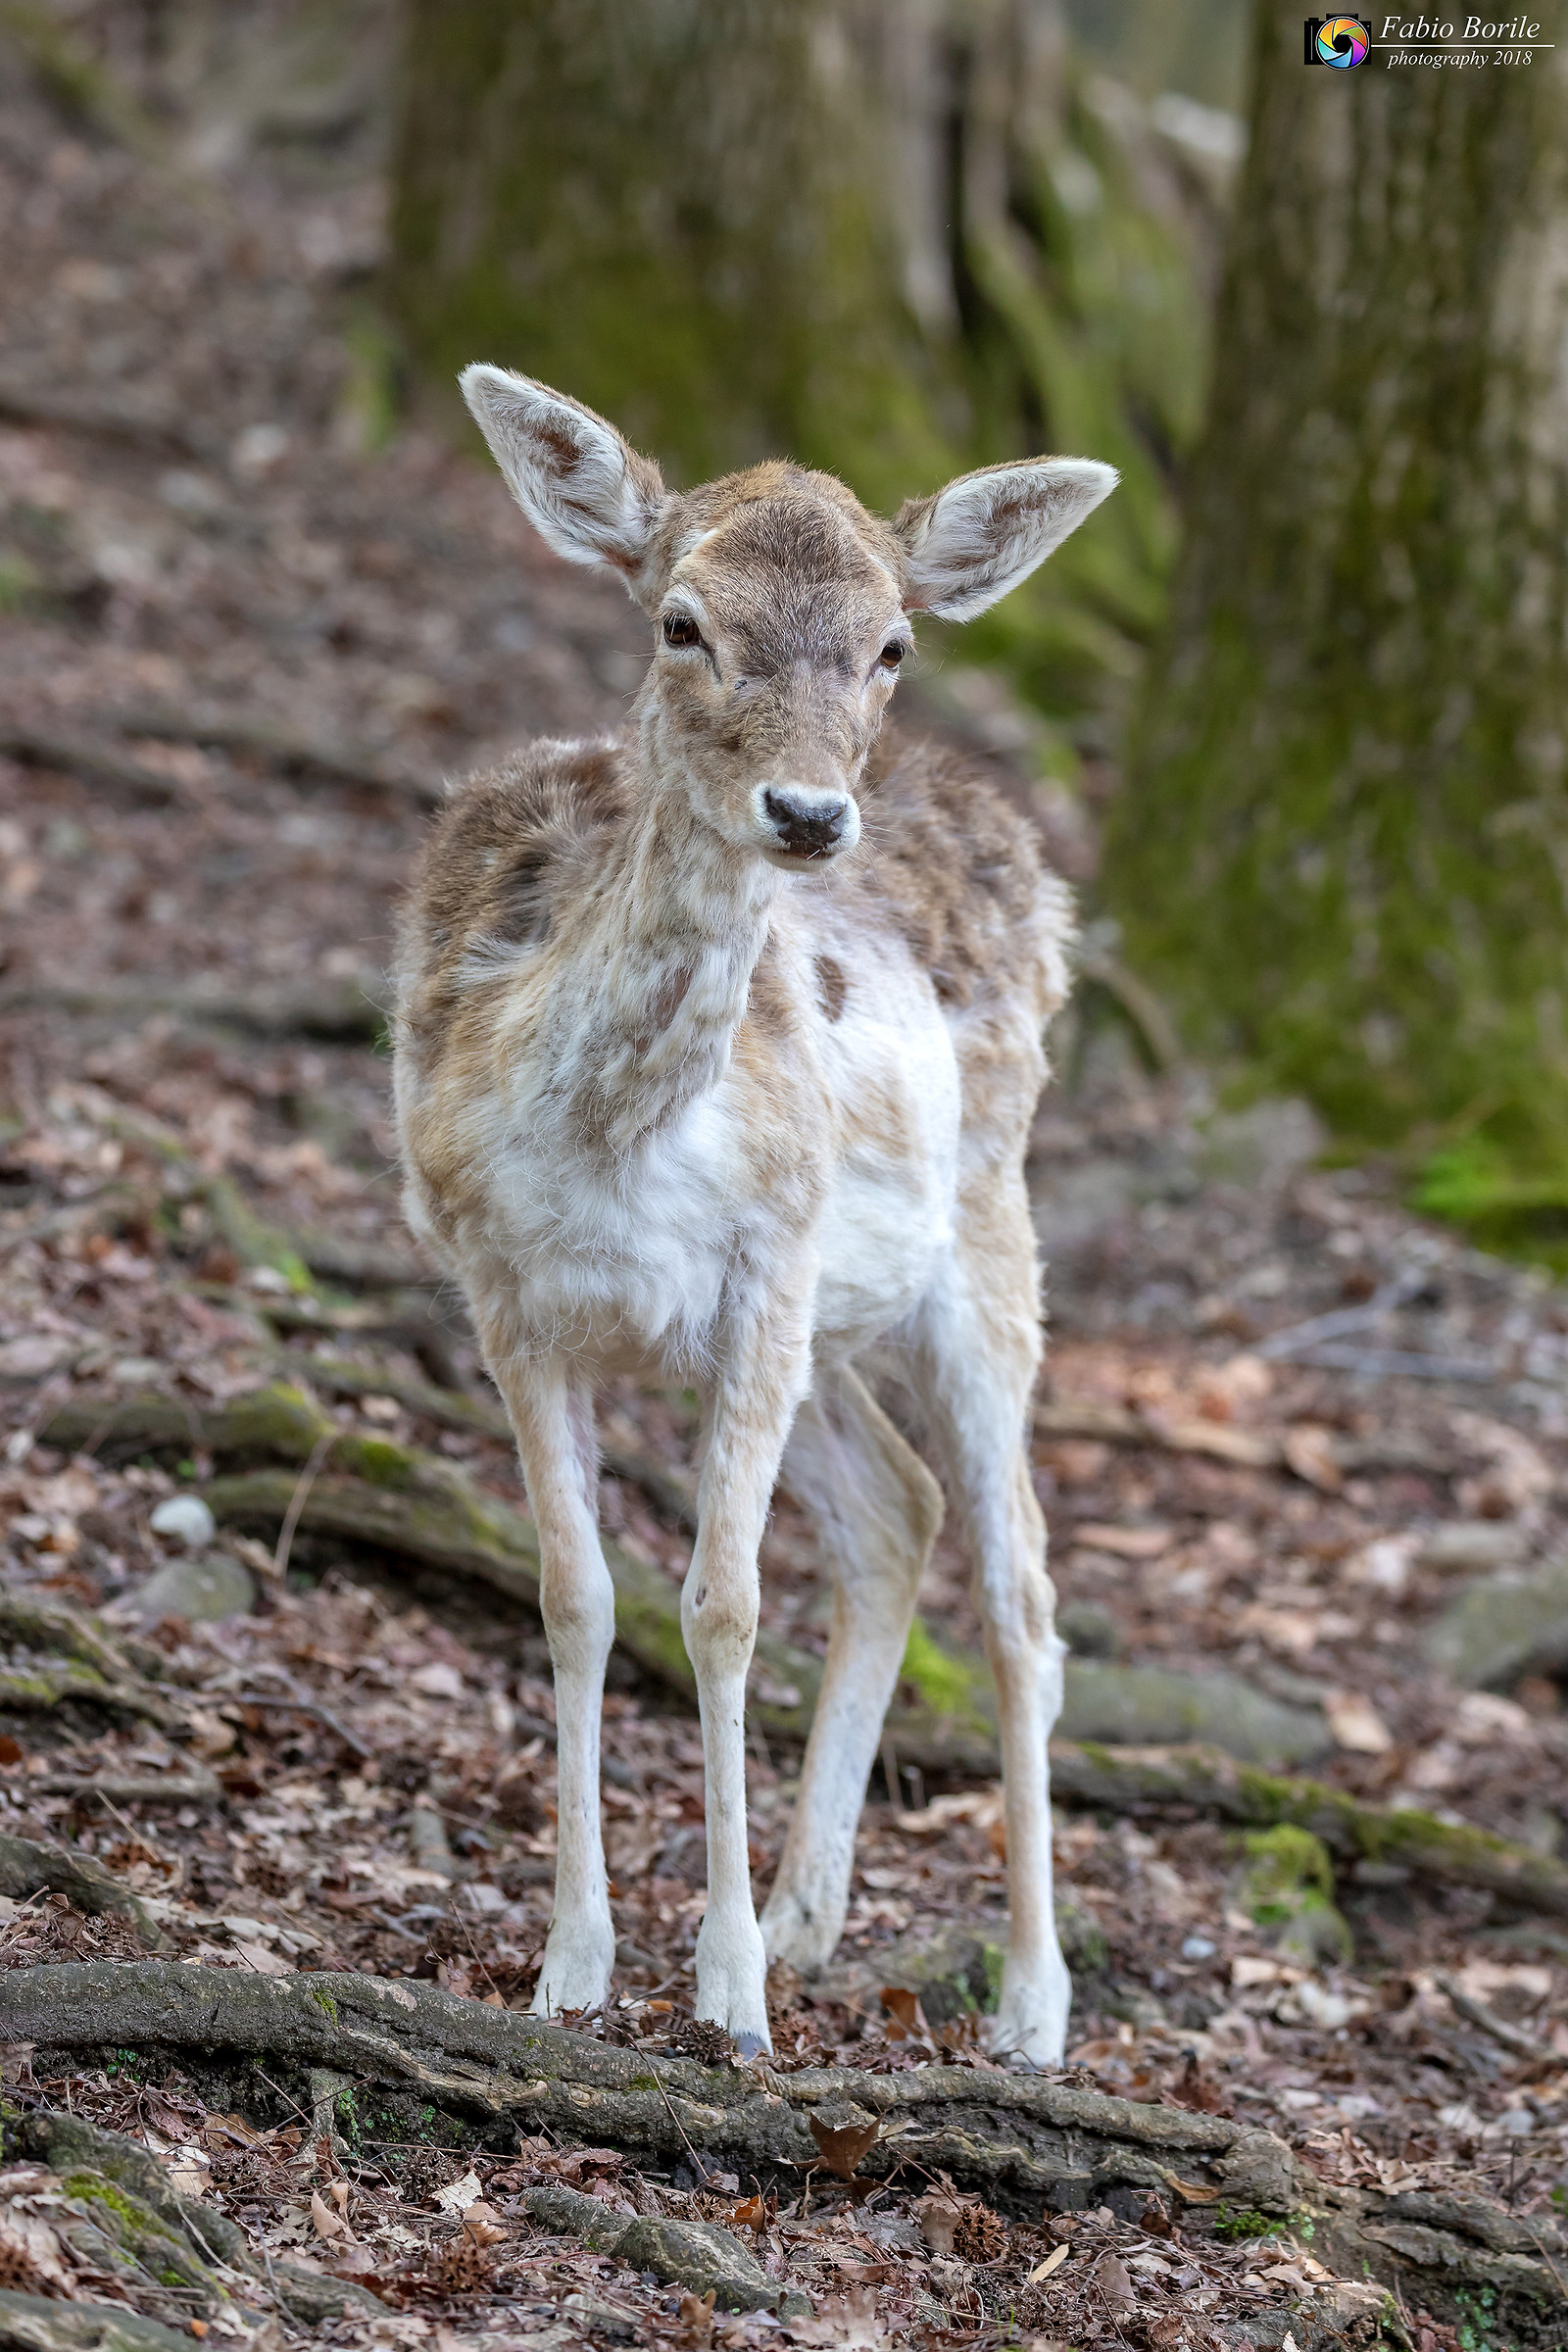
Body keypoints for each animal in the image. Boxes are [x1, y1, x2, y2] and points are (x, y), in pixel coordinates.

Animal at [393, 364, 1116, 2066]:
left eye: (893, 644)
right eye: (681, 621)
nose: (805, 811)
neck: (606, 1135)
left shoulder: (762, 1268)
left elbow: (720, 1607)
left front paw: (723, 1995)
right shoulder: (511, 1297)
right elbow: (578, 1597)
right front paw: (575, 1964)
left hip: (980, 1245)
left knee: (1022, 1593)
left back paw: (1030, 2002)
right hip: (829, 1330)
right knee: (898, 1515)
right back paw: (810, 1916)